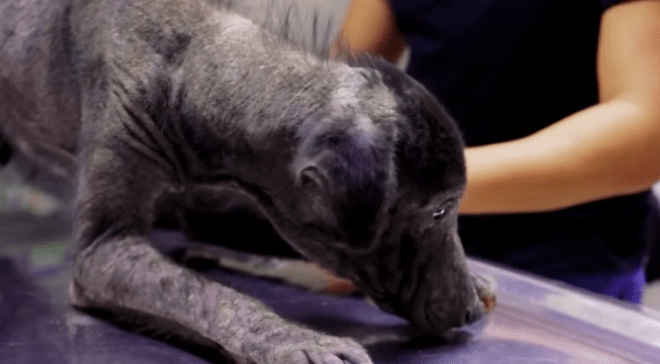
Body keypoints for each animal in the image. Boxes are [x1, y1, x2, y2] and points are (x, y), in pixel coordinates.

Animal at [0, 0, 496, 362]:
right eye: (439, 211)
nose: (470, 312)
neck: (189, 60)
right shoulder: (103, 251)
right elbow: (210, 297)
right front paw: (294, 340)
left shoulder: (236, 212)